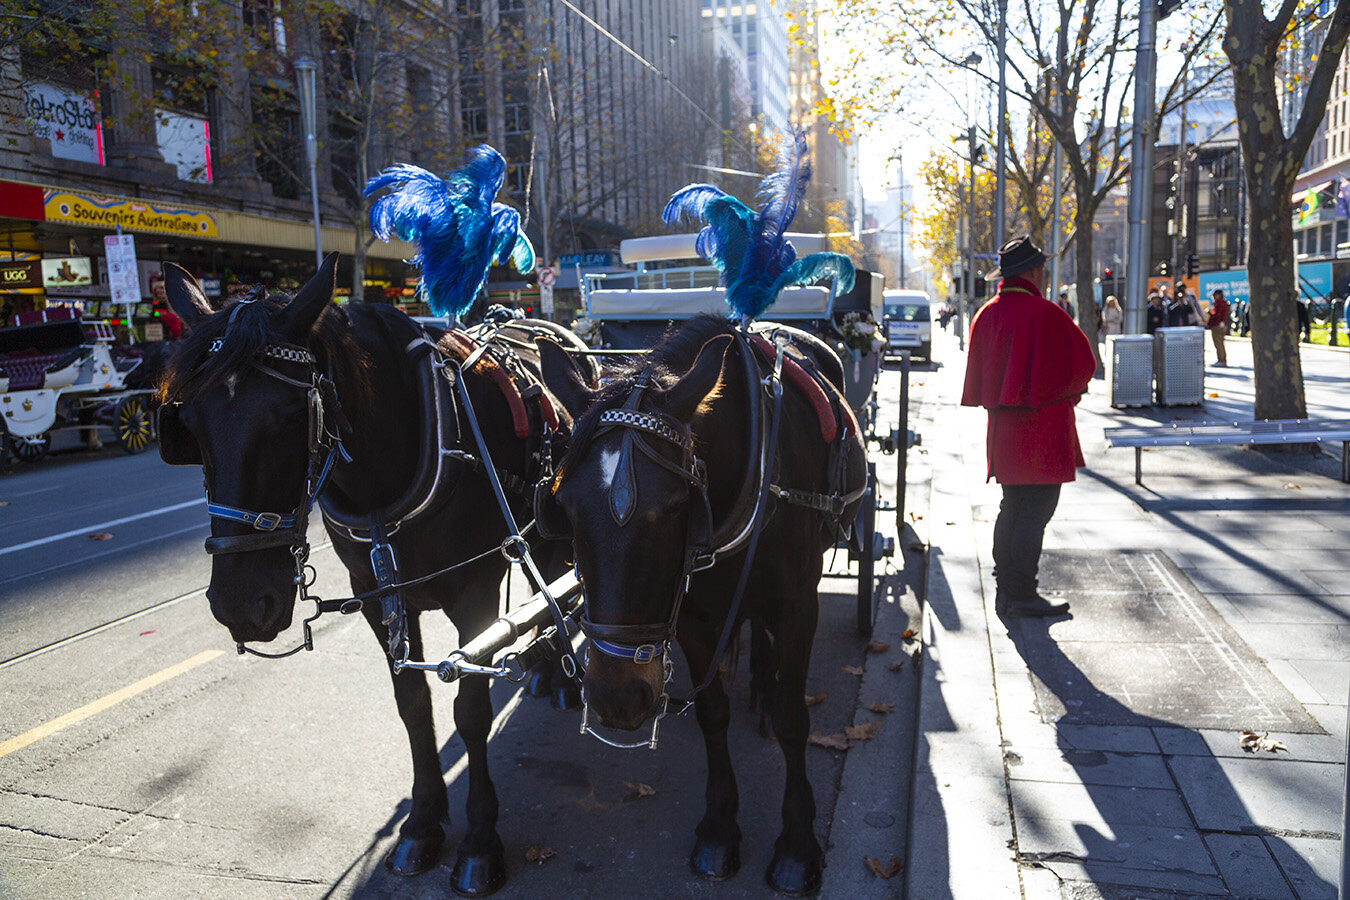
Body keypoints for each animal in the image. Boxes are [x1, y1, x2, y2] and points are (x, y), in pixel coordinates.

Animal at [156, 252, 585, 895]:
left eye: (291, 416)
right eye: (188, 423)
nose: (239, 604)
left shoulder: (475, 593)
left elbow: (470, 709)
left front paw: (480, 841)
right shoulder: (381, 595)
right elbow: (411, 704)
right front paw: (423, 823)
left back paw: (558, 674)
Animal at [534, 315, 864, 895]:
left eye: (675, 506)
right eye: (566, 507)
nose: (616, 698)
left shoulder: (798, 608)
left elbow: (794, 719)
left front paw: (798, 845)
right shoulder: (691, 619)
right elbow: (712, 713)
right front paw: (718, 829)